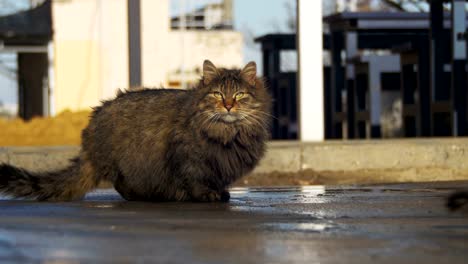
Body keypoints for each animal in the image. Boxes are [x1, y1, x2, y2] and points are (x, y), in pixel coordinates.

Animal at [0, 60, 272, 202]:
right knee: (121, 186)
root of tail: (89, 141)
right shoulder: (189, 160)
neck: (228, 134)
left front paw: (220, 192)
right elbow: (196, 180)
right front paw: (206, 195)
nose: (228, 105)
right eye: (217, 94)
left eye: (239, 95)